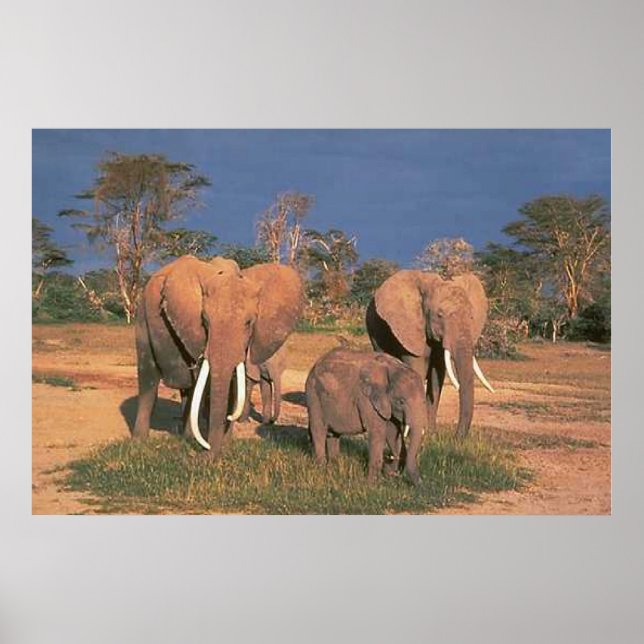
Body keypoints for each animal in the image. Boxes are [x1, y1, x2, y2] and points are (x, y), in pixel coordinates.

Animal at [133, 255, 303, 459]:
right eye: (205, 321)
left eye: (249, 323)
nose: (205, 456)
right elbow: (204, 382)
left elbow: (233, 384)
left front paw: (226, 445)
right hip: (143, 318)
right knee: (149, 380)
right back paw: (141, 442)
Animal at [305, 348, 426, 485]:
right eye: (401, 402)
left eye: (424, 402)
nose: (421, 484)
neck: (393, 367)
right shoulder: (367, 400)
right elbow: (378, 432)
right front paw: (371, 484)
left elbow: (392, 431)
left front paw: (389, 472)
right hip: (314, 395)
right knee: (319, 430)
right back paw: (321, 470)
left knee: (333, 434)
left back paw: (334, 468)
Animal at [366, 270, 494, 439]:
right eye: (439, 315)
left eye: (471, 317)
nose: (455, 438)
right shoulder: (411, 329)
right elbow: (417, 370)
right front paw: (415, 433)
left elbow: (437, 377)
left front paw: (430, 434)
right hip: (374, 331)